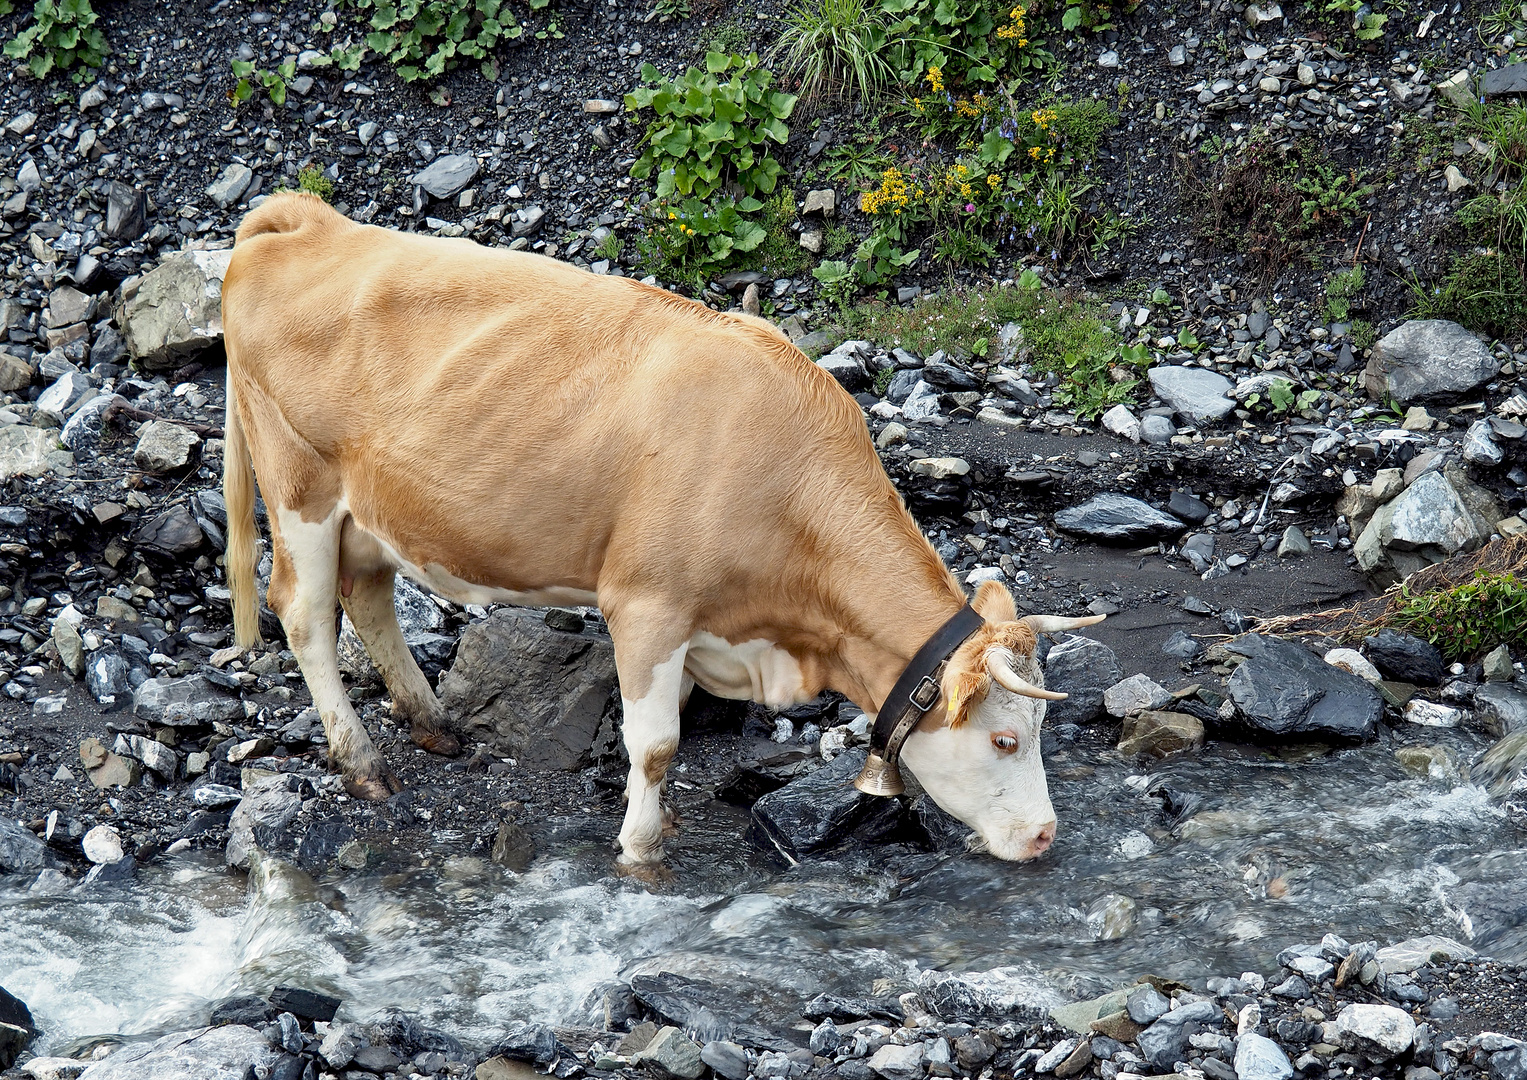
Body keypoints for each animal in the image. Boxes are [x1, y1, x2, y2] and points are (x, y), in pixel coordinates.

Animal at [221, 192, 1105, 867]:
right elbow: (655, 742)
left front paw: (660, 819)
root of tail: (310, 220)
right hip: (298, 483)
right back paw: (362, 762)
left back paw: (434, 724)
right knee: (305, 612)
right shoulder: (645, 603)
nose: (1044, 835)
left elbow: (666, 722)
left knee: (367, 594)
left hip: (374, 509)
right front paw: (640, 848)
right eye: (1003, 740)